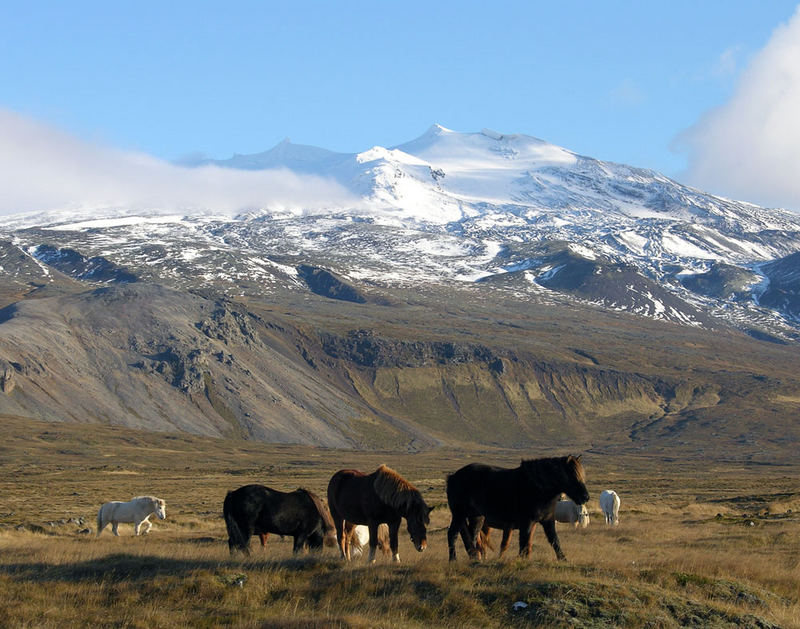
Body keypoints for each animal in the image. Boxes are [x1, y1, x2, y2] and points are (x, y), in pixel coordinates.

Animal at [446, 454, 592, 560]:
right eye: (571, 476)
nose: (585, 497)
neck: (537, 488)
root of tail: (453, 477)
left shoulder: (547, 521)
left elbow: (554, 541)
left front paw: (563, 560)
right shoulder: (527, 522)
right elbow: (524, 543)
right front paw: (522, 562)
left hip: (477, 517)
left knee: (473, 537)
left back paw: (476, 559)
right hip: (459, 514)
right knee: (453, 534)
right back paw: (453, 560)